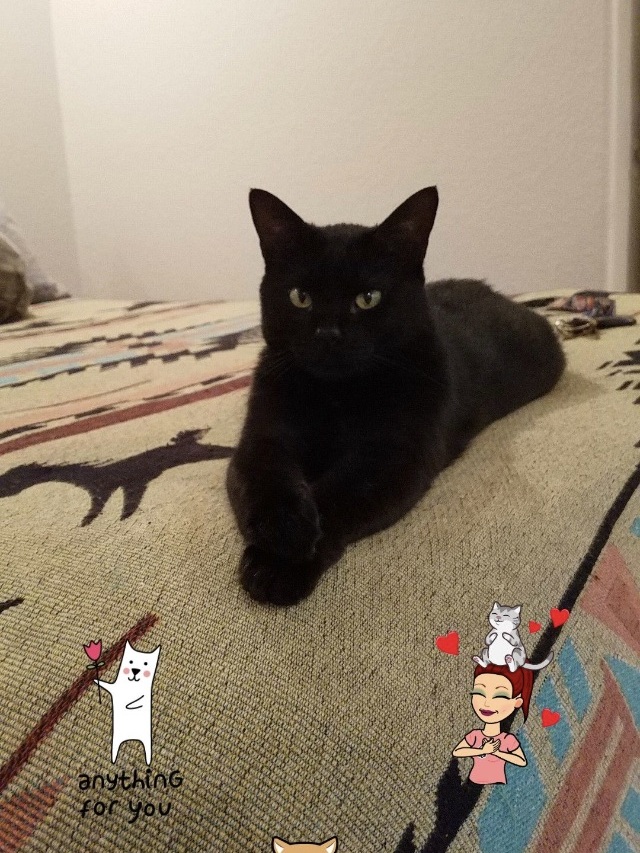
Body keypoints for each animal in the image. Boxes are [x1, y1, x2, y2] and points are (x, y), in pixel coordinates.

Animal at [226, 187, 566, 606]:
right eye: (300, 297)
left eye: (368, 297)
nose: (328, 334)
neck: (337, 396)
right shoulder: (262, 437)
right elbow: (266, 479)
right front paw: (283, 533)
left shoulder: (394, 458)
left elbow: (335, 495)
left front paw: (278, 568)